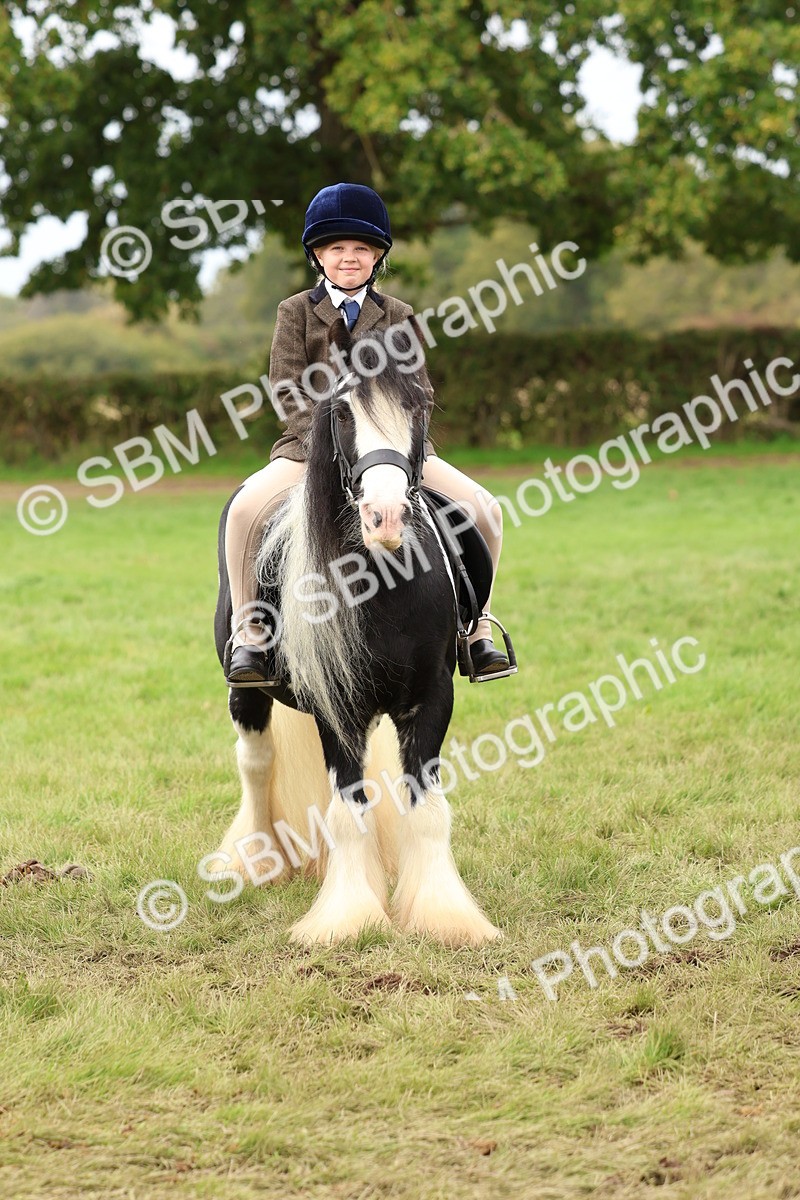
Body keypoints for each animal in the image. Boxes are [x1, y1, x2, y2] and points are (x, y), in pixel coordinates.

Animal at [211, 319, 501, 947]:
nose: (385, 517)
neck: (382, 582)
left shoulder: (431, 696)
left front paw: (443, 915)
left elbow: (426, 806)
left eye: (420, 406)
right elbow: (346, 810)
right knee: (256, 762)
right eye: (341, 411)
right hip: (247, 694)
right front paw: (348, 918)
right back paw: (257, 859)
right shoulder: (337, 704)